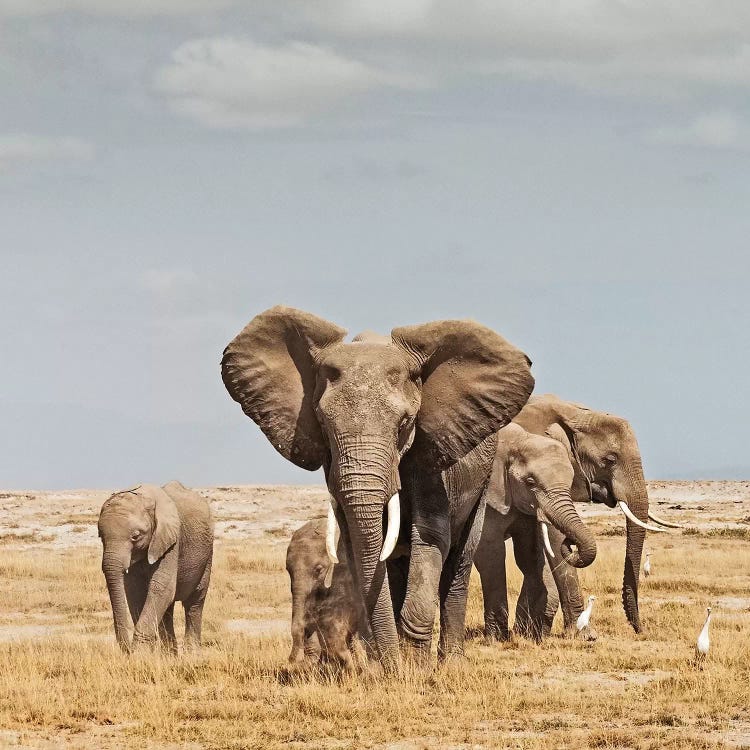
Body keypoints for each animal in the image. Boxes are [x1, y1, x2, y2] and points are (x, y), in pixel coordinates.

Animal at [97, 484, 214, 656]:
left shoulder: (171, 540)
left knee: (194, 602)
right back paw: (169, 656)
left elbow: (161, 587)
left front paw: (140, 654)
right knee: (168, 610)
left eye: (136, 536)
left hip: (207, 555)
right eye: (100, 536)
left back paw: (192, 654)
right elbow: (135, 591)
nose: (127, 651)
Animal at [476, 426, 600, 644]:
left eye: (570, 483)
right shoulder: (488, 495)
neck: (518, 440)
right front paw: (497, 640)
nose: (570, 543)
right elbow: (489, 553)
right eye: (530, 482)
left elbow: (529, 557)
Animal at [516, 396, 672, 636]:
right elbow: (553, 536)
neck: (572, 414)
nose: (641, 630)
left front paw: (529, 632)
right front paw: (583, 635)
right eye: (610, 459)